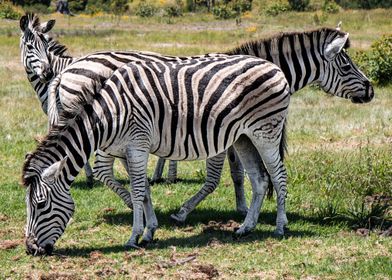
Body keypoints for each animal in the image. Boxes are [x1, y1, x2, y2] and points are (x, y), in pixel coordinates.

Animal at [22, 53, 290, 255]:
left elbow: (138, 191)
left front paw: (134, 237)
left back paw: (279, 227)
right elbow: (145, 191)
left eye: (40, 204)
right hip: (244, 137)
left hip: (266, 132)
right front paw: (149, 231)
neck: (109, 115)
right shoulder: (128, 150)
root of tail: (273, 66)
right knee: (260, 180)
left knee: (278, 177)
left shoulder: (137, 146)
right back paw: (246, 227)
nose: (30, 249)